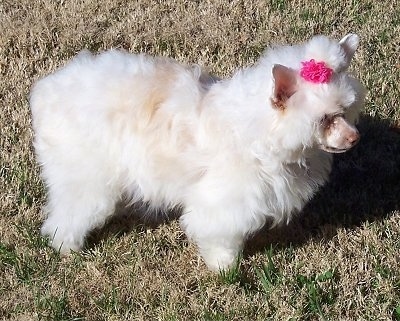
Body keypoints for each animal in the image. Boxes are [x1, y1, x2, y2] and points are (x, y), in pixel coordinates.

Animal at [29, 33, 364, 268]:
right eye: (325, 119)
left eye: (346, 110)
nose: (354, 138)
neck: (258, 128)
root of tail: (48, 90)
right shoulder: (224, 202)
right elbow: (219, 234)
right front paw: (225, 266)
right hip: (85, 179)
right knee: (66, 216)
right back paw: (67, 247)